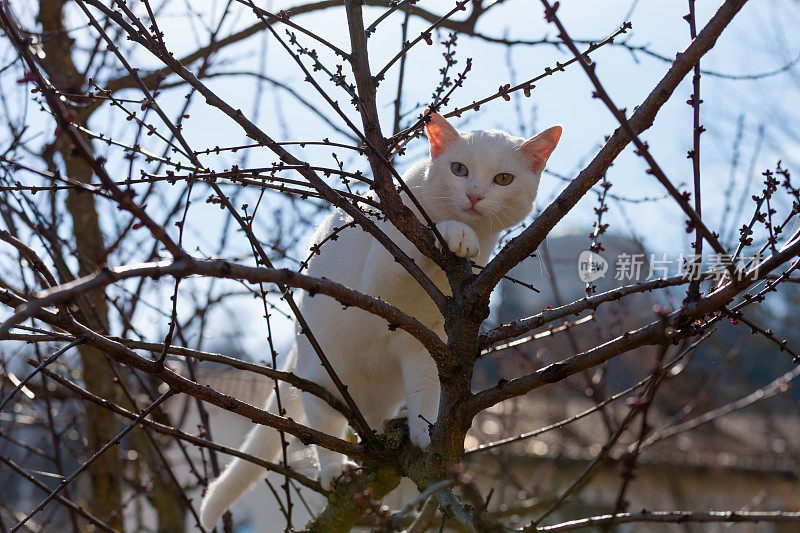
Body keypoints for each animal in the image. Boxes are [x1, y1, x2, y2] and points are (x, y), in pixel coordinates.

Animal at [200, 113, 564, 528]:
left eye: (503, 179)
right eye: (459, 170)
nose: (473, 195)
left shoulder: (428, 342)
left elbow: (427, 390)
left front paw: (425, 432)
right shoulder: (381, 274)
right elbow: (421, 241)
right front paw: (454, 234)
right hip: (321, 377)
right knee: (321, 428)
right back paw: (333, 470)